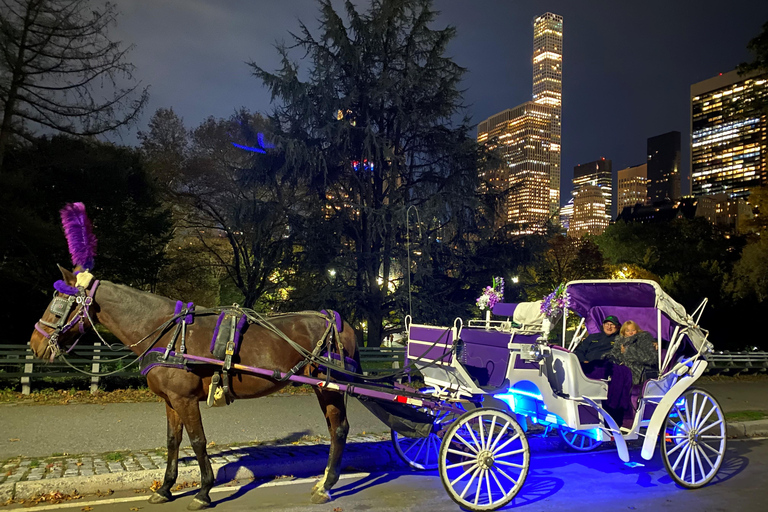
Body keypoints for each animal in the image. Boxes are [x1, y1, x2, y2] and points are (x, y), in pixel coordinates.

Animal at [31, 266, 362, 510]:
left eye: (59, 303)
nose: (34, 344)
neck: (167, 332)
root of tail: (339, 321)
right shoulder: (170, 400)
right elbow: (173, 441)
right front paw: (165, 488)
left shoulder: (185, 399)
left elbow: (198, 441)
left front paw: (203, 491)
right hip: (324, 387)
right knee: (336, 428)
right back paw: (324, 481)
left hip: (328, 387)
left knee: (339, 429)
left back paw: (326, 485)